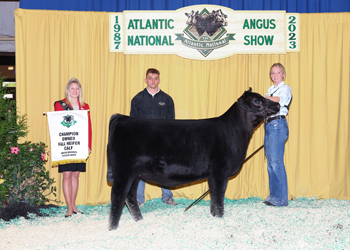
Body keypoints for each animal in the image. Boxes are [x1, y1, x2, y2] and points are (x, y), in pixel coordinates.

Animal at [106, 88, 278, 230]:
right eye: (257, 101)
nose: (277, 104)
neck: (234, 131)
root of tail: (121, 118)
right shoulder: (220, 172)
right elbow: (219, 196)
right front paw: (219, 217)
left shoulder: (213, 175)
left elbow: (214, 195)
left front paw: (213, 215)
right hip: (123, 171)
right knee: (118, 195)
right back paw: (113, 228)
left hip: (135, 174)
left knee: (130, 196)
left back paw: (139, 220)